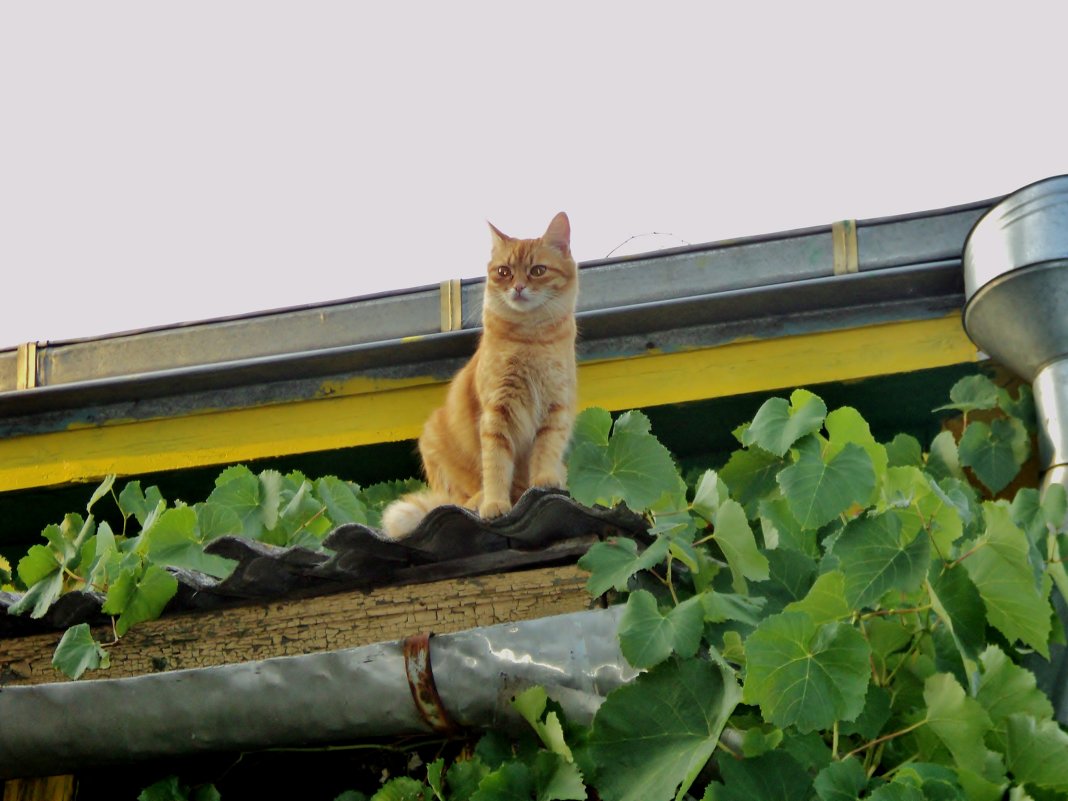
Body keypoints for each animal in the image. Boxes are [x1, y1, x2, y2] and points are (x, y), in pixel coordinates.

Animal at [382, 213, 580, 540]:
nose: (519, 287)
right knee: (459, 497)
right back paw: (478, 499)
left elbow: (545, 453)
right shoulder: (497, 414)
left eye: (537, 271)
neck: (531, 339)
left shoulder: (555, 409)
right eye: (504, 272)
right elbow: (496, 466)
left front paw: (544, 480)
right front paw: (495, 504)